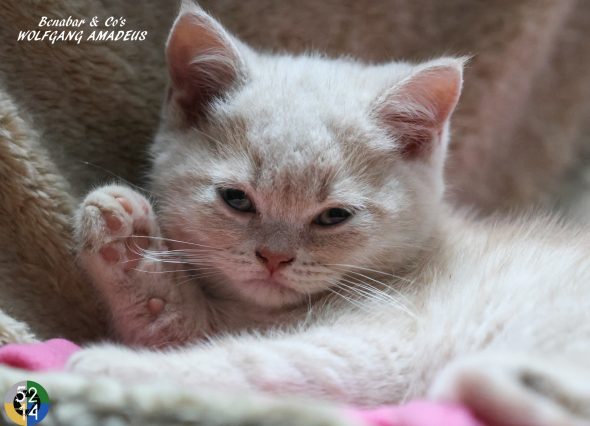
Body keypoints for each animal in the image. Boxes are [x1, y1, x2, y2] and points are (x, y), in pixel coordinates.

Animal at [68, 3, 590, 426]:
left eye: (333, 216)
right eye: (237, 200)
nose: (273, 258)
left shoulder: (383, 349)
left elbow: (251, 365)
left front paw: (107, 371)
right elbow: (189, 328)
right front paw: (132, 254)